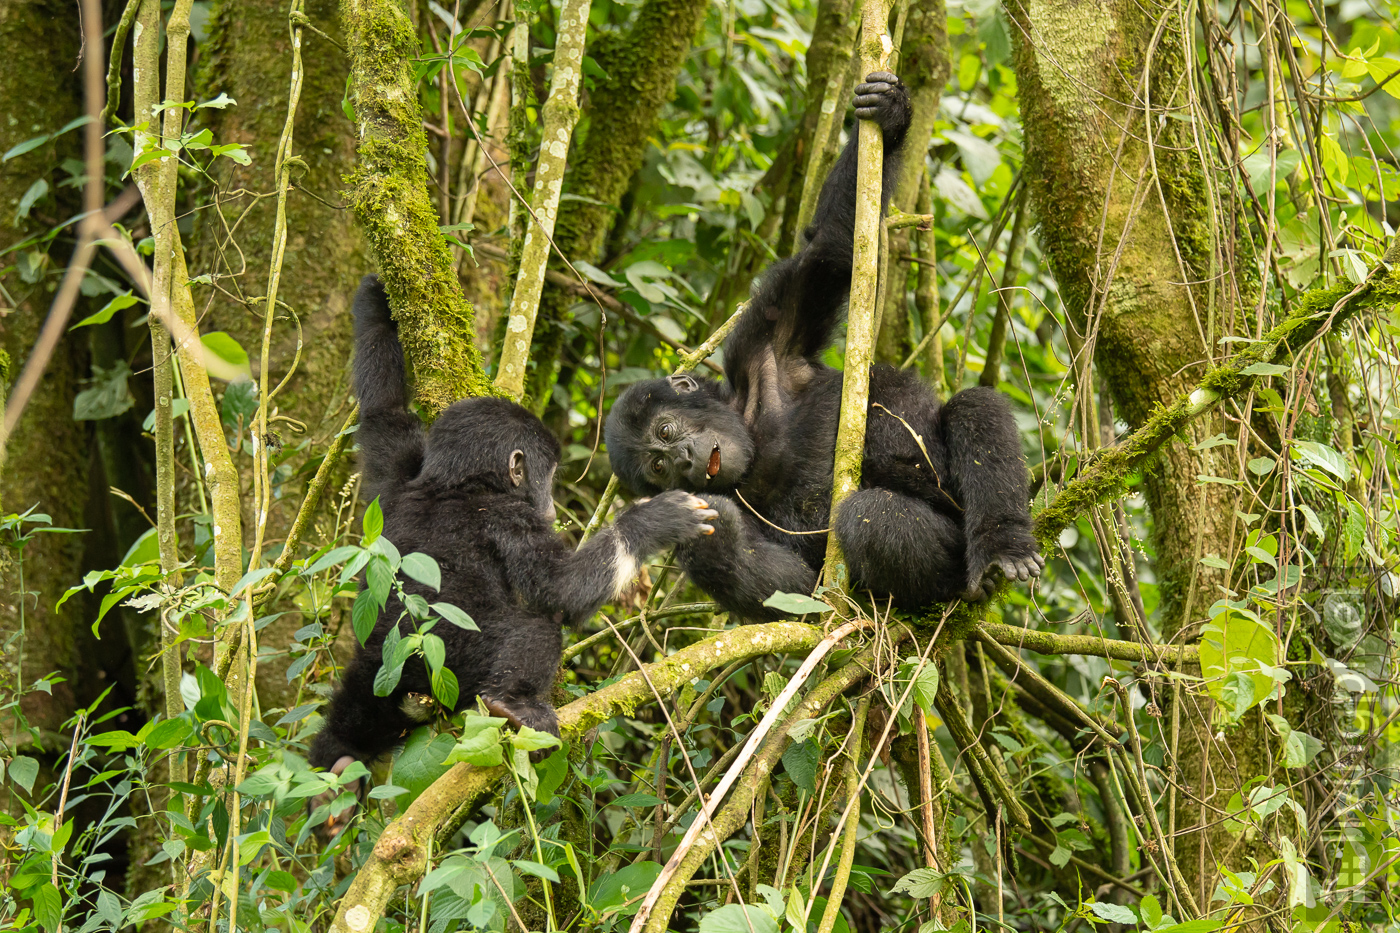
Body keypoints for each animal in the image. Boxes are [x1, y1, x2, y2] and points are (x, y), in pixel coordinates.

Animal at [310, 273, 716, 790]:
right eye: (549, 472)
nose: (551, 501)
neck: (458, 486)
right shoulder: (510, 520)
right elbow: (561, 589)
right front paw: (658, 519)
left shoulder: (397, 478)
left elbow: (382, 410)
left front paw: (378, 302)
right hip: (447, 661)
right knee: (535, 630)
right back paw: (513, 705)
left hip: (369, 680)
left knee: (345, 726)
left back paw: (334, 776)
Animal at [602, 74, 1041, 616]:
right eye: (659, 469)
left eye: (665, 431)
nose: (683, 459)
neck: (750, 428)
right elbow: (799, 592)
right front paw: (714, 527)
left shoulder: (763, 341)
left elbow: (829, 251)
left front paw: (890, 115)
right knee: (873, 521)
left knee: (974, 409)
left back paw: (1003, 547)